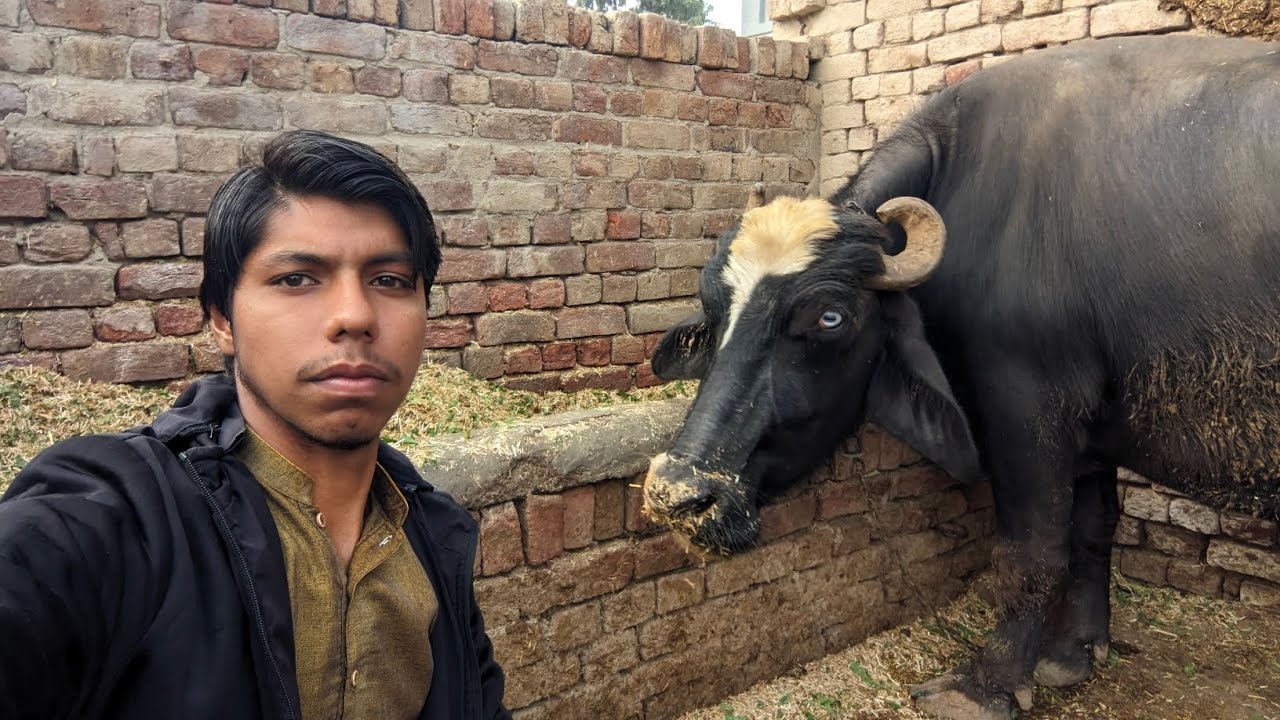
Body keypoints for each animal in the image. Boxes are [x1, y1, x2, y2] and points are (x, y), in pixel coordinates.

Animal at [642, 35, 1279, 719]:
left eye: (828, 317)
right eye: (713, 305)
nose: (680, 495)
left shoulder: (1028, 408)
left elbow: (1033, 548)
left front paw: (986, 686)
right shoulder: (1089, 430)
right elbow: (1091, 529)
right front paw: (1072, 653)